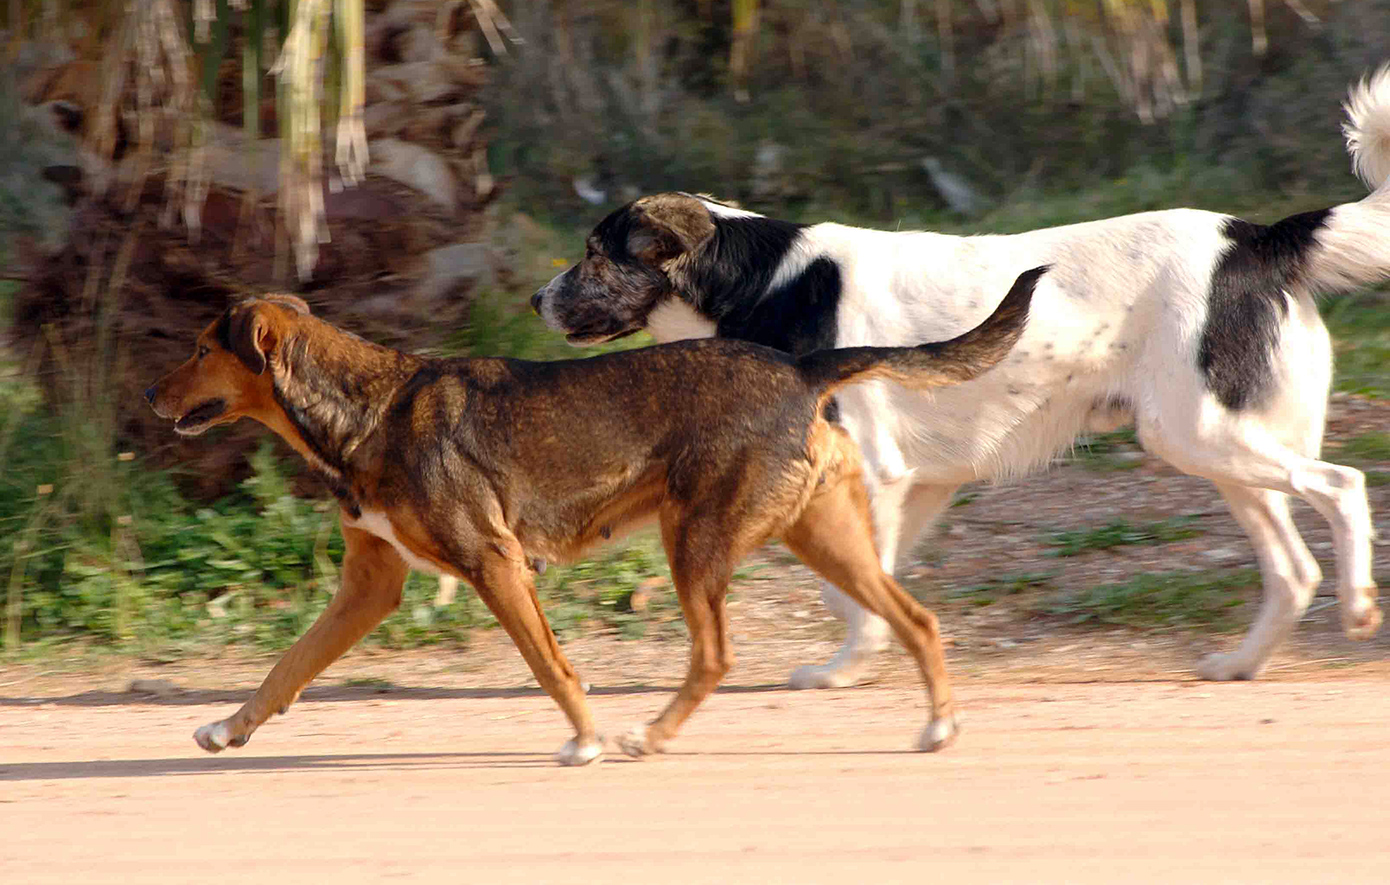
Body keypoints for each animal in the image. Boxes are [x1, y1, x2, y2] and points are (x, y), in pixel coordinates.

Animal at [149, 268, 1045, 761]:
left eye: (200, 348)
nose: (152, 397)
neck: (368, 408)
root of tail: (802, 365)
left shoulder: (496, 562)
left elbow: (552, 665)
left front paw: (583, 739)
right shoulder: (370, 585)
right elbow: (286, 666)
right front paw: (229, 729)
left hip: (698, 542)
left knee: (716, 653)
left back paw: (648, 736)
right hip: (823, 537)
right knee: (919, 618)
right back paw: (938, 726)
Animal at [533, 70, 1390, 689]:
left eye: (595, 253)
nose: (537, 299)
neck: (762, 281)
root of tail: (1258, 239)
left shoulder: (875, 473)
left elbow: (854, 593)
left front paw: (843, 671)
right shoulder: (917, 484)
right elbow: (861, 587)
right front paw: (860, 661)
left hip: (1201, 433)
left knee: (1343, 485)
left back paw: (1356, 610)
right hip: (1219, 447)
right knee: (1293, 568)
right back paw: (1241, 664)